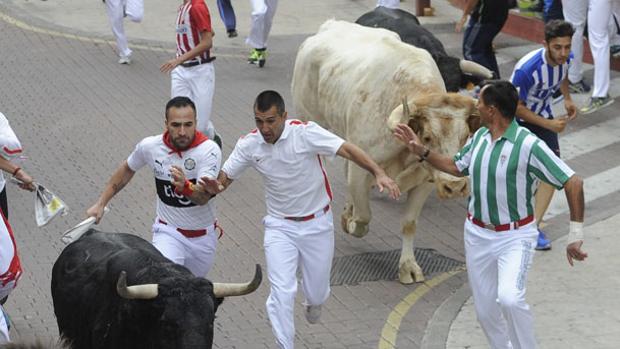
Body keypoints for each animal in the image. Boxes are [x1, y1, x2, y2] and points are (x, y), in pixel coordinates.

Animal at [290, 20, 484, 282]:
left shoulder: (425, 180)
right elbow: (363, 216)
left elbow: (409, 223)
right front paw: (352, 222)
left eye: (465, 136)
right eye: (427, 137)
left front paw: (408, 266)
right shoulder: (361, 169)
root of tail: (330, 25)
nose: (455, 186)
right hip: (309, 120)